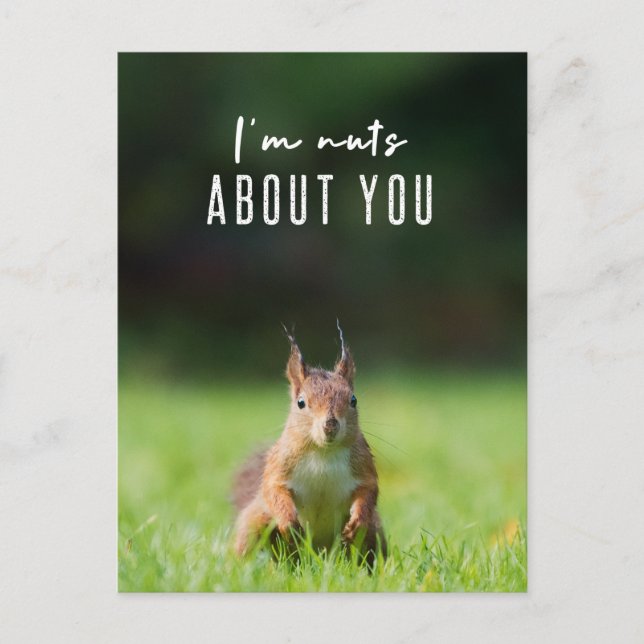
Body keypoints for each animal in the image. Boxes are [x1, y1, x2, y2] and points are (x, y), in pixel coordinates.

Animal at [232, 323, 386, 564]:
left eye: (353, 400)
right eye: (301, 402)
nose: (330, 425)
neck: (322, 452)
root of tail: (317, 554)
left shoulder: (363, 465)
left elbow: (369, 489)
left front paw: (358, 520)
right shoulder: (280, 464)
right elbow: (273, 488)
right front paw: (288, 522)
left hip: (374, 531)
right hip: (255, 521)